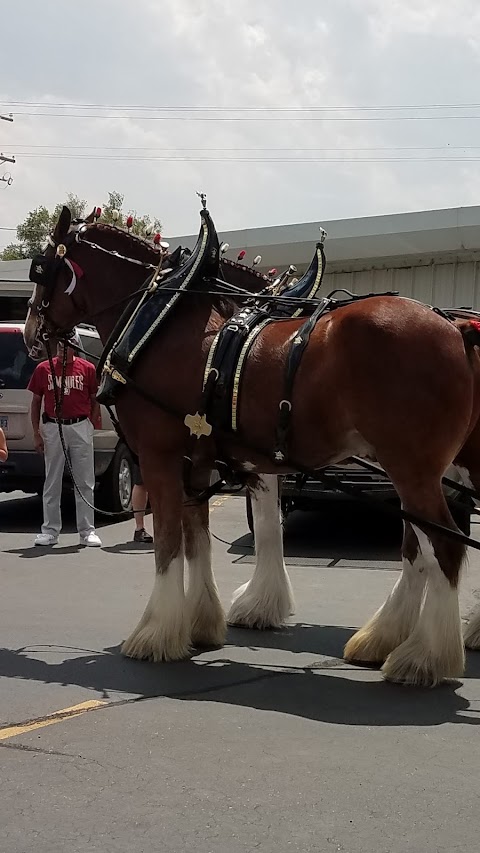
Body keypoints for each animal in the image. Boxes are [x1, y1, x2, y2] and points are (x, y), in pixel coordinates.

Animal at [23, 205, 480, 684]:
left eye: (40, 268)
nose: (31, 331)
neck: (163, 321)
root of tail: (458, 329)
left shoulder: (160, 456)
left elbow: (172, 542)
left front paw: (156, 632)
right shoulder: (200, 460)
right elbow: (201, 538)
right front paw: (202, 622)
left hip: (412, 468)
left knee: (443, 546)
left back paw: (424, 656)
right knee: (422, 547)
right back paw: (396, 639)